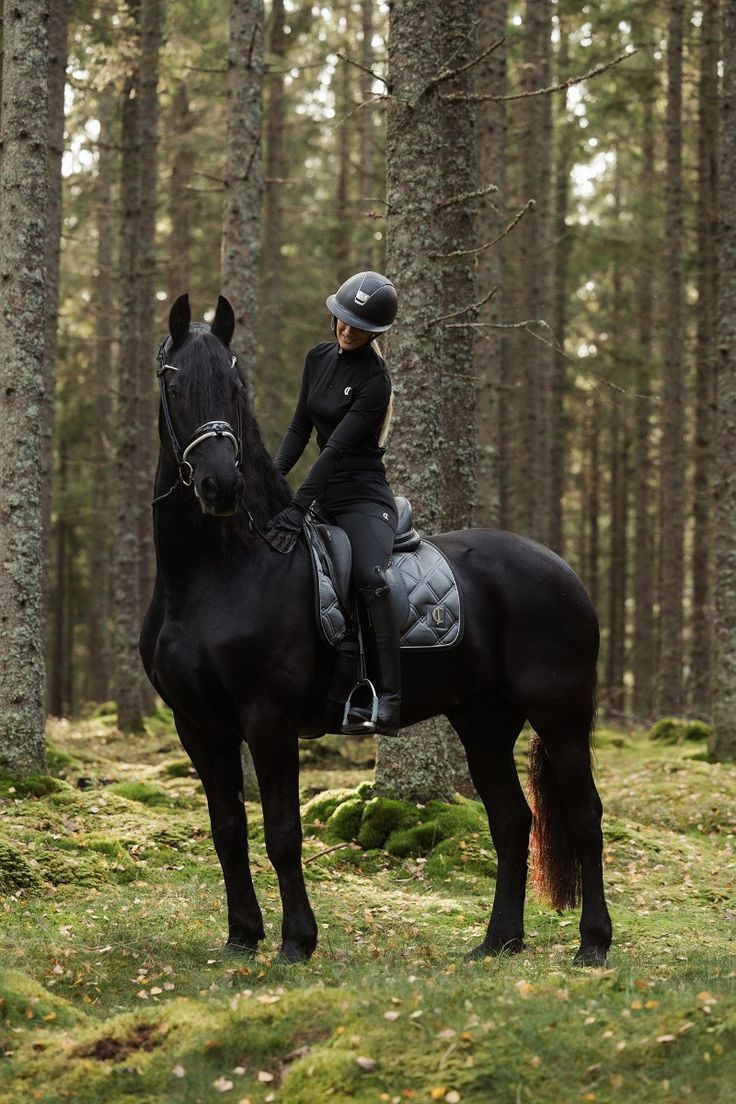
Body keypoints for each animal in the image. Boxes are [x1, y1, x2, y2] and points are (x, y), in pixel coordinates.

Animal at [140, 293, 612, 967]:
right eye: (175, 386)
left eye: (233, 388)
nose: (220, 488)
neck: (222, 570)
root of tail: (562, 570)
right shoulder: (198, 724)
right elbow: (227, 829)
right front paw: (241, 936)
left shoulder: (267, 717)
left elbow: (282, 833)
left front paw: (296, 942)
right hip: (484, 721)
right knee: (511, 820)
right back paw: (498, 940)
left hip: (560, 712)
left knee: (584, 814)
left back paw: (593, 944)